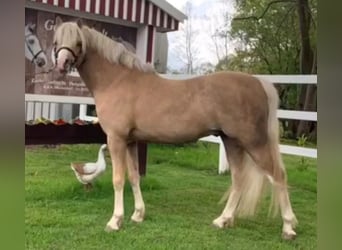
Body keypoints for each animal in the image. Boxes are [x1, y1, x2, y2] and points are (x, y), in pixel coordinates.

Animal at [52, 18, 298, 240]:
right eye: (57, 41)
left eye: (78, 41)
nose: (62, 64)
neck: (117, 80)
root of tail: (258, 82)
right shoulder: (131, 141)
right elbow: (134, 177)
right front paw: (138, 215)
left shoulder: (116, 139)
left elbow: (118, 179)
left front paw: (115, 221)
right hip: (231, 141)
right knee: (238, 179)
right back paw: (222, 220)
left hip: (254, 143)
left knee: (278, 176)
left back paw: (288, 228)